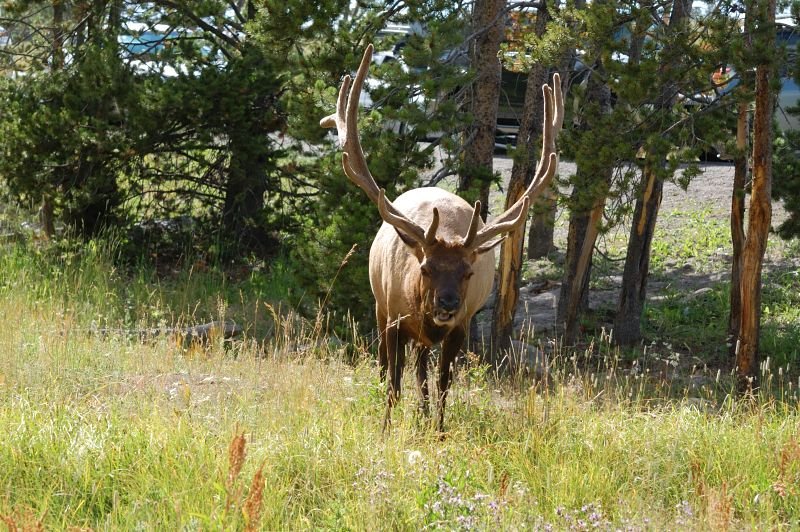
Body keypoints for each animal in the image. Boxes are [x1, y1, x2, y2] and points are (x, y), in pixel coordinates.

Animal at [320, 45, 563, 432]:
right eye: (426, 267)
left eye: (468, 272)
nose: (447, 303)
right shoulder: (393, 318)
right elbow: (392, 381)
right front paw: (386, 428)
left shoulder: (460, 327)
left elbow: (443, 382)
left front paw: (438, 430)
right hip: (379, 306)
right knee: (388, 367)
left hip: (431, 331)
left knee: (422, 368)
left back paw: (421, 414)